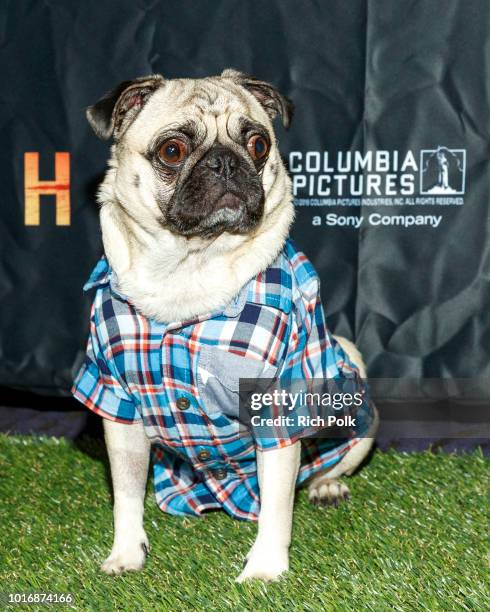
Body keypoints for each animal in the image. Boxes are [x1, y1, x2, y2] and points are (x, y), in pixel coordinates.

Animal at [73, 69, 378, 580]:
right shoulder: (117, 405)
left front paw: (265, 566)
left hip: (353, 383)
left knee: (324, 468)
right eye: (172, 151)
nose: (225, 163)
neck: (189, 266)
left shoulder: (276, 402)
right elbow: (127, 493)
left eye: (258, 144)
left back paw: (326, 487)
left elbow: (277, 504)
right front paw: (126, 552)